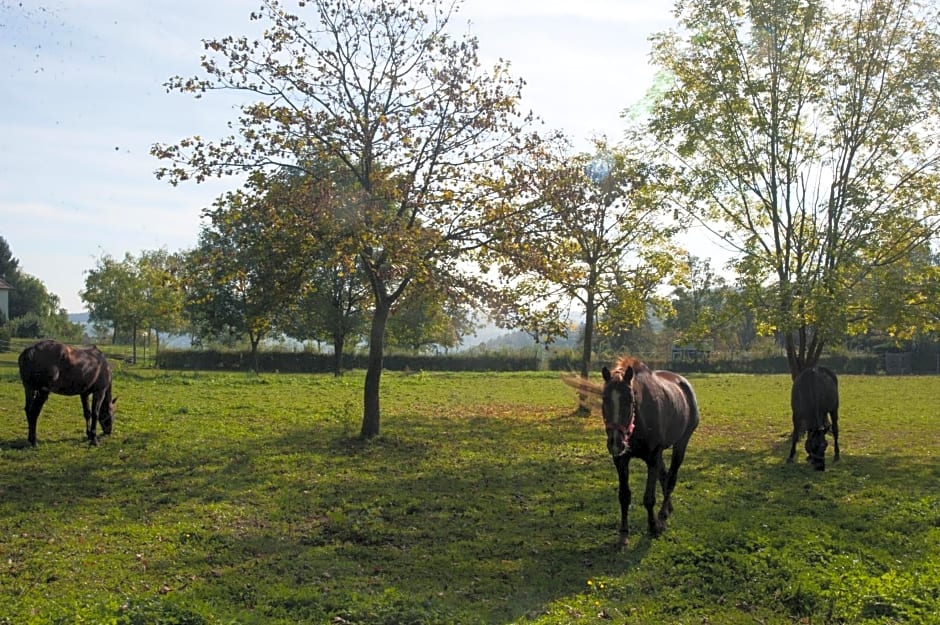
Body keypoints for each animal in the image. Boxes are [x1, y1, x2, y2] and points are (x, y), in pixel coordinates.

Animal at [564, 356, 696, 544]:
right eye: (604, 399)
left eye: (629, 399)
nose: (615, 443)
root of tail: (683, 383)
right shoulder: (621, 460)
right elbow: (624, 496)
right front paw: (624, 533)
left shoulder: (653, 458)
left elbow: (649, 498)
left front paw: (653, 526)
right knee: (664, 477)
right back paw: (668, 509)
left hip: (680, 444)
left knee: (671, 478)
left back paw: (663, 515)